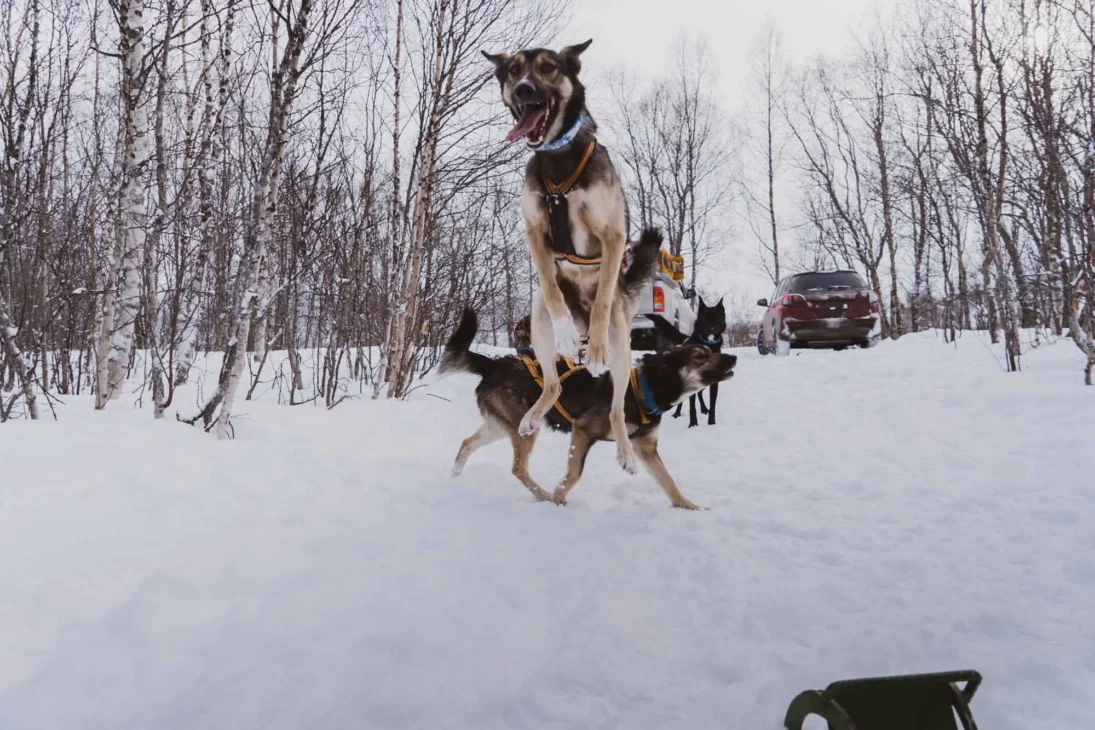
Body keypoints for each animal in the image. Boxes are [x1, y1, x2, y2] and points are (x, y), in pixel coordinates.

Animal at [442, 308, 735, 507]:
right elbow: (574, 474)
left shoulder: (646, 448)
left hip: (502, 427)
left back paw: (455, 476)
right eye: (699, 356)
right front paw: (558, 497)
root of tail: (493, 364)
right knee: (518, 469)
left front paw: (688, 506)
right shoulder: (583, 431)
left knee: (467, 444)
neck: (645, 388)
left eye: (709, 352)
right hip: (524, 429)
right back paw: (544, 495)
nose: (732, 357)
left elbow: (668, 481)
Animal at [481, 38, 648, 474]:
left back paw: (625, 448)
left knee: (618, 406)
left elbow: (603, 295)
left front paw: (594, 345)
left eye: (548, 67)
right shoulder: (536, 233)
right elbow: (551, 286)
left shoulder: (613, 237)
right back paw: (535, 410)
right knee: (554, 383)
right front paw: (567, 332)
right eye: (513, 71)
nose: (524, 89)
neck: (557, 158)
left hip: (623, 343)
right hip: (537, 321)